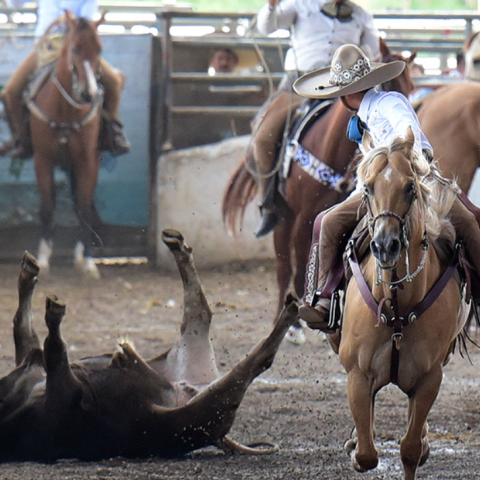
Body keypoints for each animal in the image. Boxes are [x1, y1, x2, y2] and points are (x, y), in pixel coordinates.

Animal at [0, 229, 296, 462]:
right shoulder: (60, 389)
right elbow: (41, 340)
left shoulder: (55, 382)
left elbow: (33, 335)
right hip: (203, 407)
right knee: (215, 325)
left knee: (216, 324)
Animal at [223, 39, 414, 344]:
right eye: (387, 85)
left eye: (410, 85)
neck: (330, 146)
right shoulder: (304, 216)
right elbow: (303, 260)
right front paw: (298, 323)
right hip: (284, 215)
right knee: (284, 265)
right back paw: (286, 320)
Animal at [338, 127, 468, 480]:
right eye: (367, 187)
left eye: (410, 187)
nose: (385, 245)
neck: (397, 305)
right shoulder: (358, 375)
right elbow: (367, 453)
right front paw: (355, 447)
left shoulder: (429, 378)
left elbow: (409, 450)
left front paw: (419, 446)